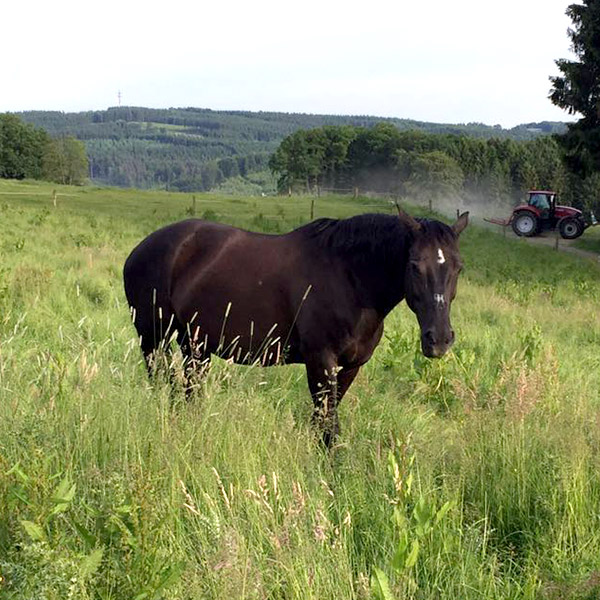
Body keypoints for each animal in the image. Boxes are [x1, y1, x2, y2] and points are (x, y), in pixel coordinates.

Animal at [122, 211, 468, 446]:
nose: (439, 339)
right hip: (153, 339)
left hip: (195, 345)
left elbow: (324, 421)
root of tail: (141, 249)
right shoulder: (320, 361)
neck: (349, 278)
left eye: (458, 267)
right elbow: (328, 424)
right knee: (162, 382)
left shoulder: (349, 367)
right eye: (413, 265)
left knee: (188, 389)